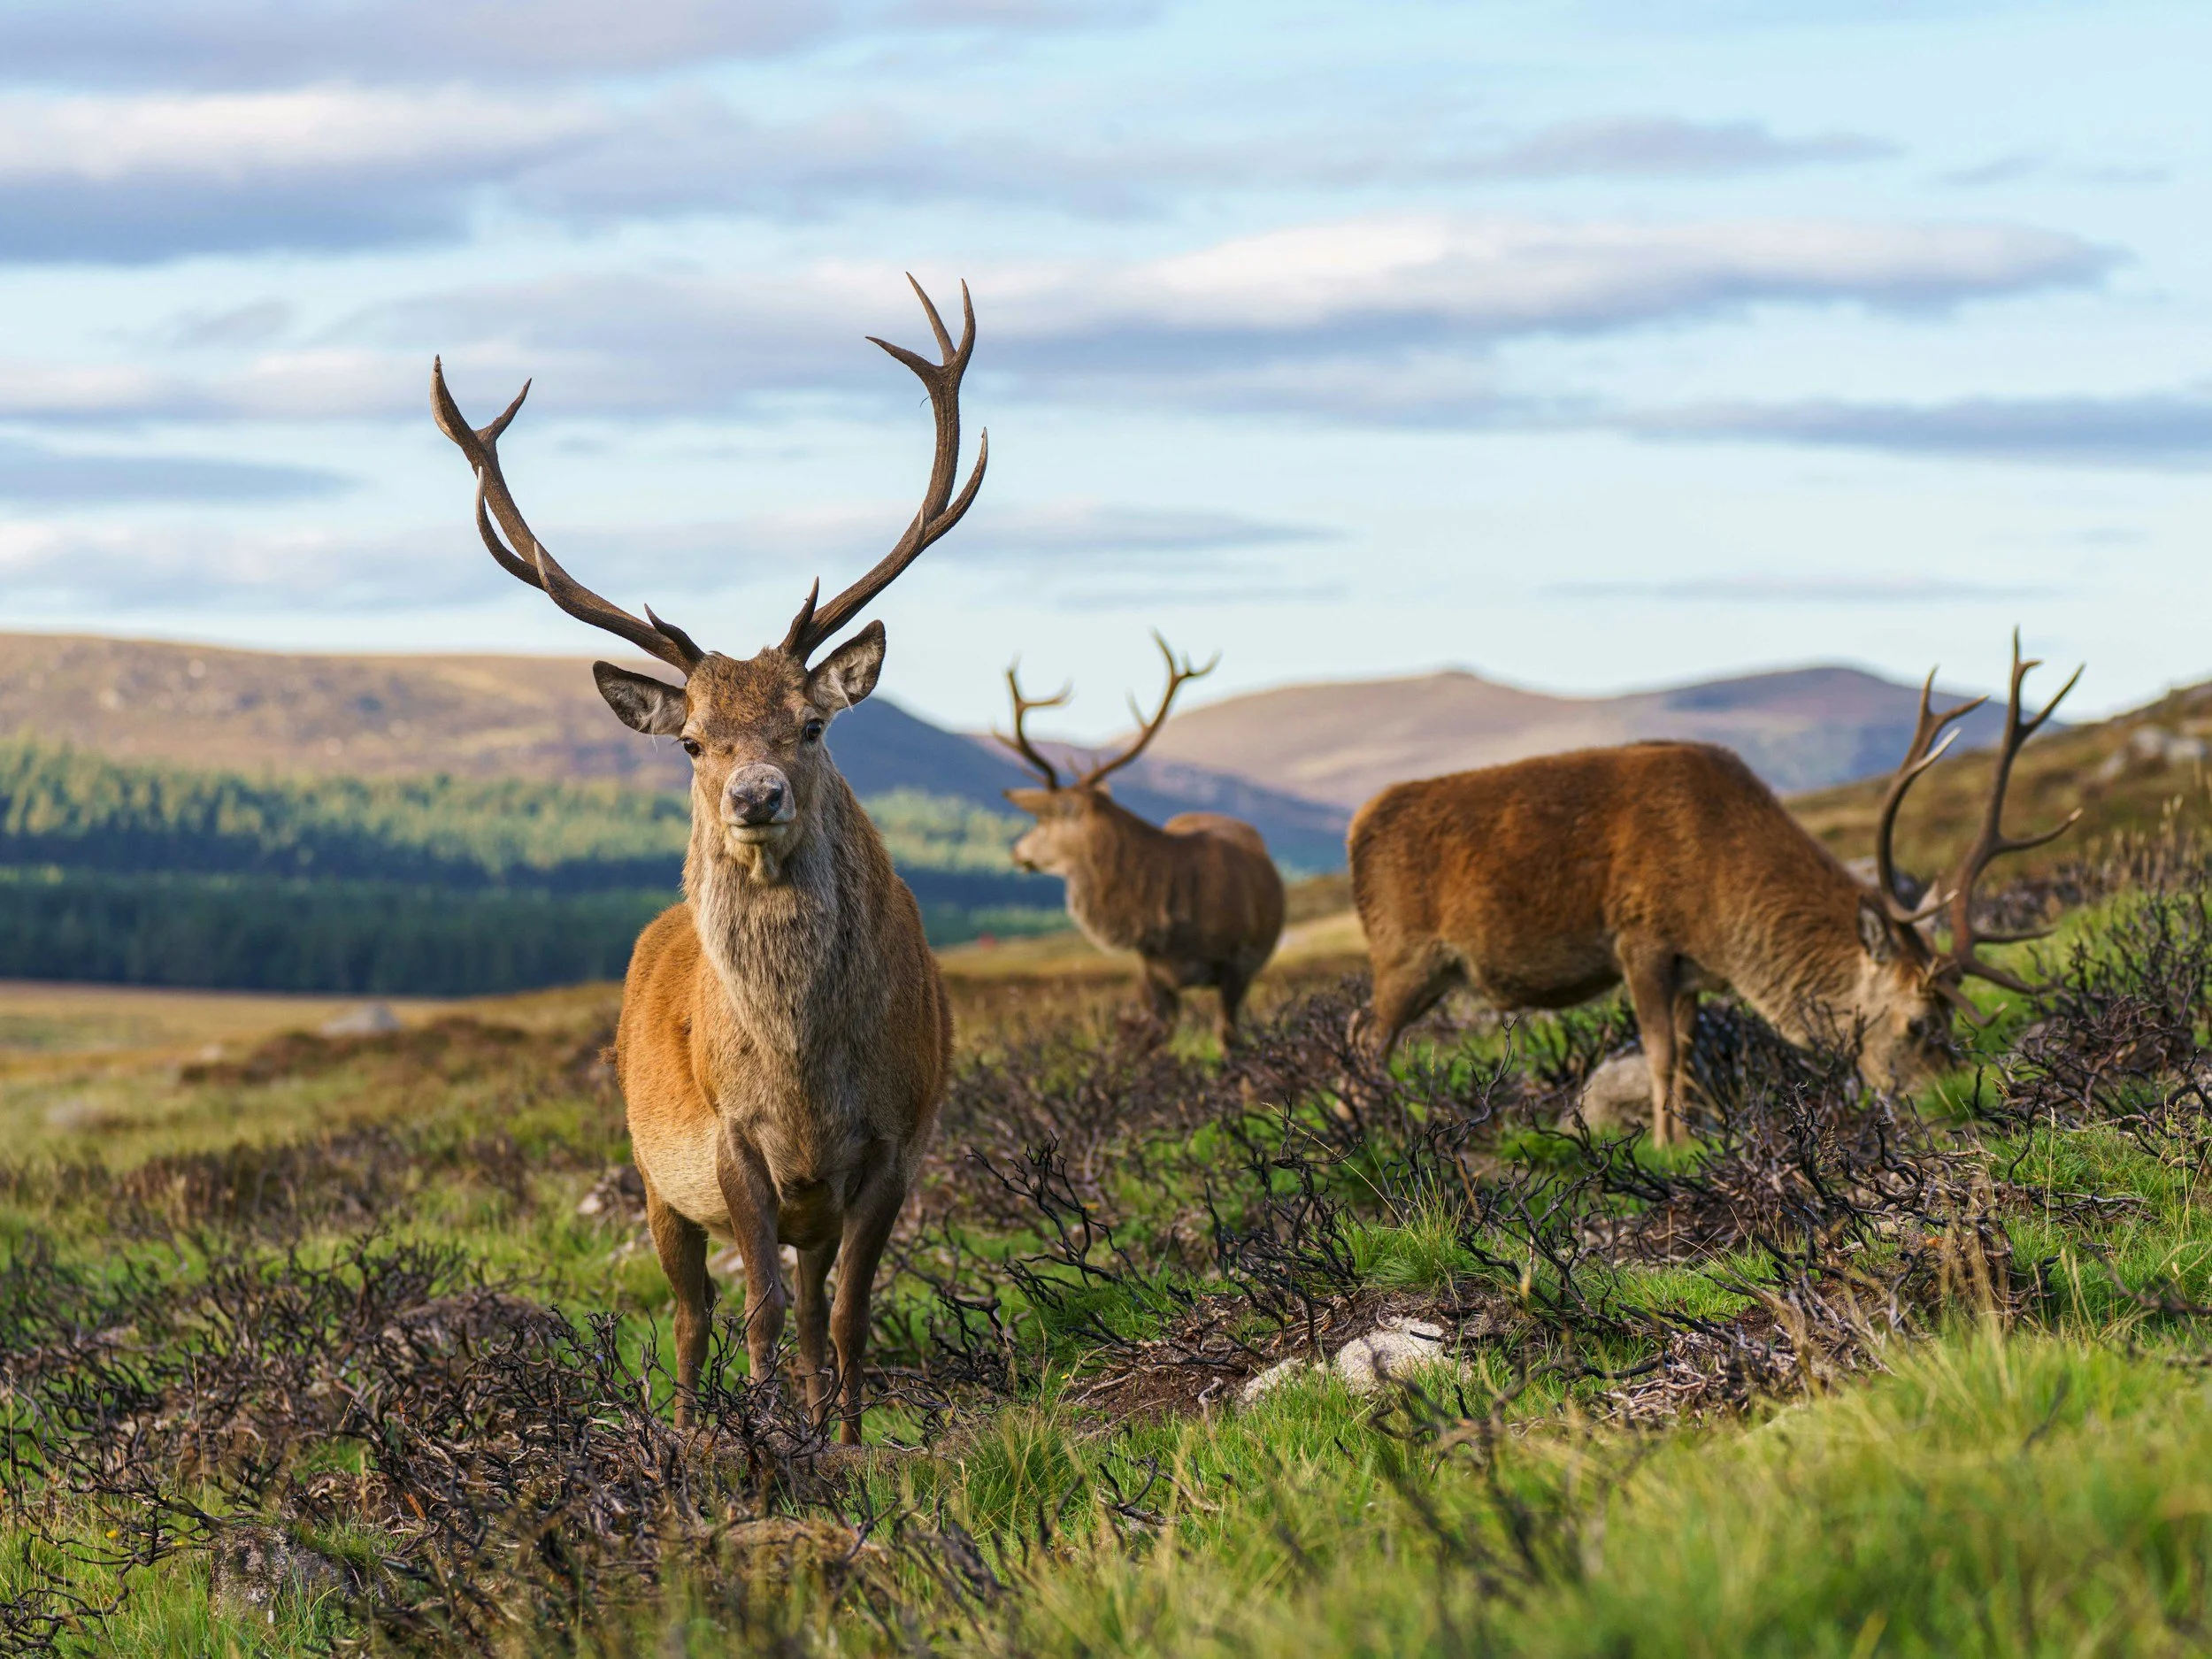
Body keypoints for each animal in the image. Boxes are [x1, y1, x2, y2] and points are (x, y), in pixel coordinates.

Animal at [430, 277, 986, 1441]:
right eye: (692, 740)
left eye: (810, 724)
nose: (755, 796)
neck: (805, 1071)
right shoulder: (730, 1144)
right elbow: (757, 1312)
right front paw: (763, 1436)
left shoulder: (898, 1140)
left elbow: (850, 1313)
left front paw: (846, 1440)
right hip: (650, 1173)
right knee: (691, 1318)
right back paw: (688, 1429)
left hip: (801, 1201)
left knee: (815, 1304)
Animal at [1349, 634, 2079, 1145]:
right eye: (1919, 1023)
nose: (1945, 1100)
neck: (1724, 916)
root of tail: (1358, 828)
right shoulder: (1640, 937)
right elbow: (1659, 1054)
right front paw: (1664, 1146)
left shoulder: (1689, 970)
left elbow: (1688, 1057)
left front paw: (1692, 1134)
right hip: (1403, 955)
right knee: (1365, 1039)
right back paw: (1370, 1142)